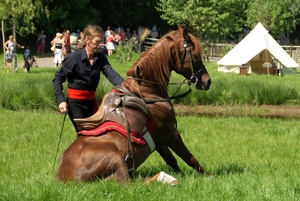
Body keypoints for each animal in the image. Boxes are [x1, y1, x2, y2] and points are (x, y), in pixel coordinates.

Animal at [56, 26, 211, 184]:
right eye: (195, 55)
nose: (207, 81)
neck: (147, 92)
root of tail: (64, 177)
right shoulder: (171, 134)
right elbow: (190, 158)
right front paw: (209, 177)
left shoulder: (159, 140)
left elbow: (171, 160)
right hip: (116, 157)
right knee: (128, 183)